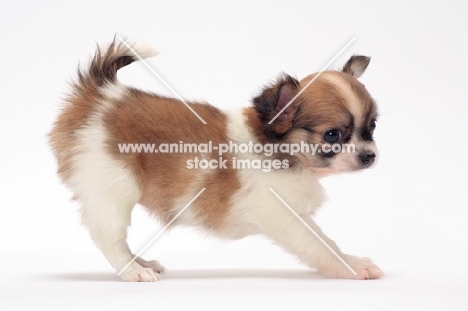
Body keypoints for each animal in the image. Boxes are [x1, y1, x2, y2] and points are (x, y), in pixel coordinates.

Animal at [48, 39, 384, 282]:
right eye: (332, 135)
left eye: (372, 127)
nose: (369, 156)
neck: (283, 149)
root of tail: (103, 96)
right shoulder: (282, 214)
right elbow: (320, 244)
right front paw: (350, 265)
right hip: (113, 188)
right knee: (108, 237)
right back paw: (132, 270)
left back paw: (141, 262)